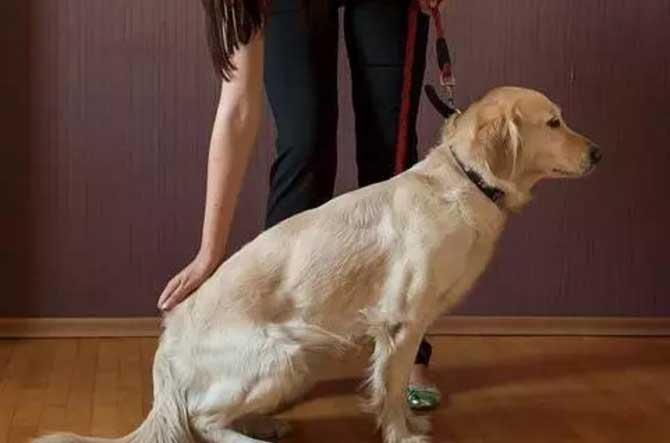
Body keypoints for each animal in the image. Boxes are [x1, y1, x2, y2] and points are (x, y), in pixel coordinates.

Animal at [35, 87, 601, 443]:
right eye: (554, 122)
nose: (598, 153)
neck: (465, 183)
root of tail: (166, 350)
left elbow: (394, 387)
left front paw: (409, 425)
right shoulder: (401, 321)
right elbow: (390, 389)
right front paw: (401, 434)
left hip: (299, 357)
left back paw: (263, 424)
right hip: (283, 355)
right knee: (200, 420)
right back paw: (254, 439)